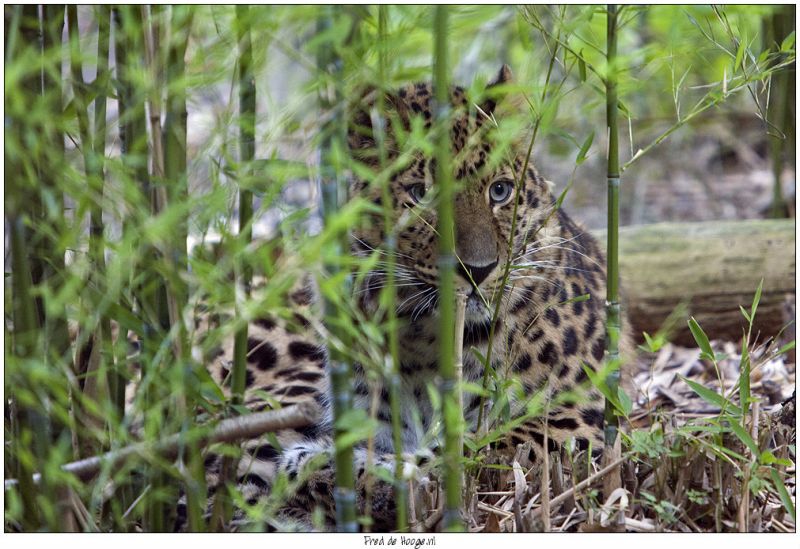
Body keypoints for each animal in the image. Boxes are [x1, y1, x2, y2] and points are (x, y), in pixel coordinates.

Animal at [188, 64, 624, 532]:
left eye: (500, 190)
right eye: (421, 194)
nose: (479, 270)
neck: (424, 337)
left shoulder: (576, 415)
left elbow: (472, 450)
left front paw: (327, 469)